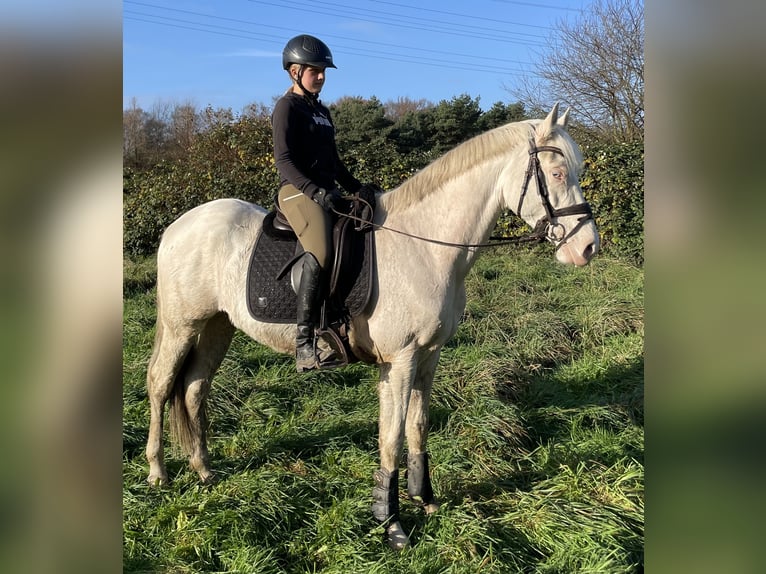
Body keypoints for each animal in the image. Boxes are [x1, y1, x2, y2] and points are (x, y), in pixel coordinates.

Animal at [144, 106, 600, 552]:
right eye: (557, 174)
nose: (588, 248)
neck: (424, 245)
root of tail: (179, 225)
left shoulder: (428, 355)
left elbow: (416, 427)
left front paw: (425, 499)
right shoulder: (400, 359)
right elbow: (392, 437)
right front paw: (391, 523)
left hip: (217, 326)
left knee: (194, 388)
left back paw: (204, 470)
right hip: (182, 325)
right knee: (161, 384)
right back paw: (158, 472)